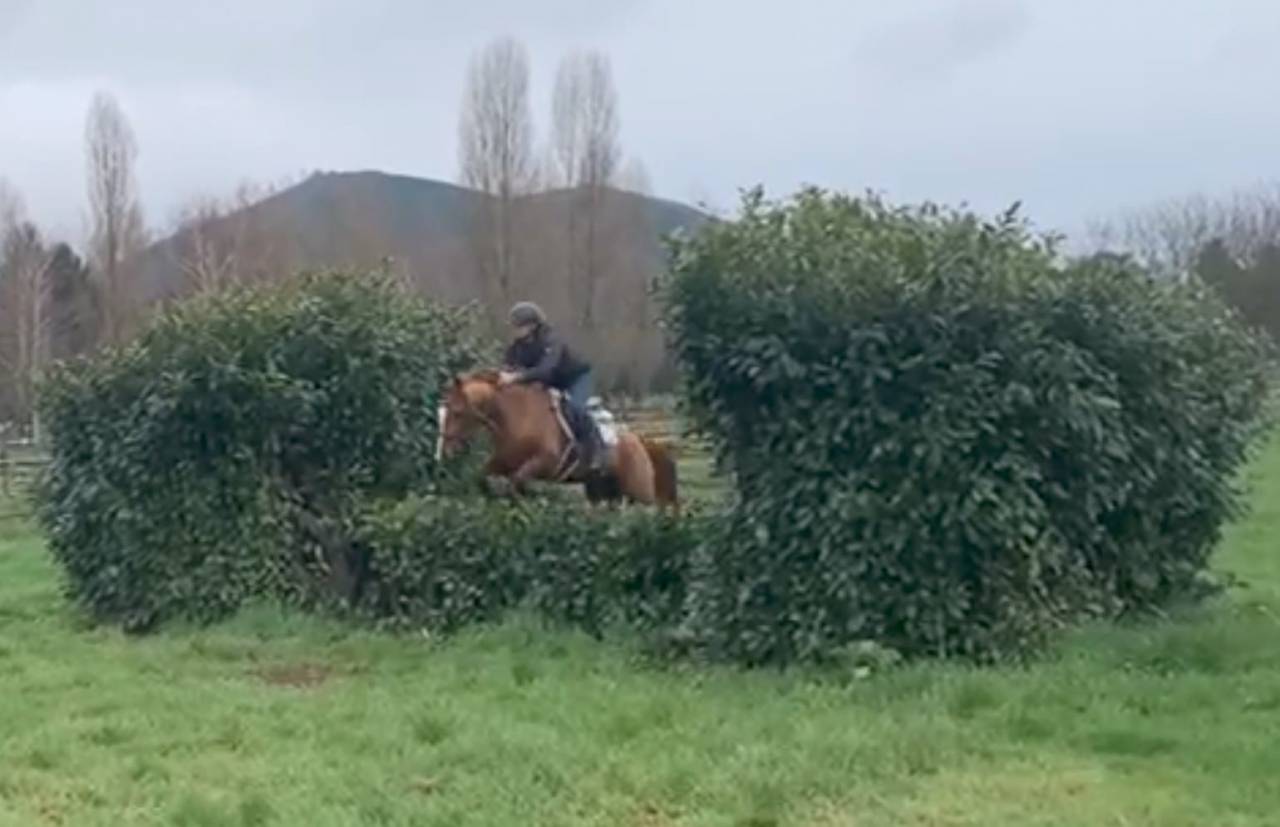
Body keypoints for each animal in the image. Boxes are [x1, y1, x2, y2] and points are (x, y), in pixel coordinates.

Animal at [436, 370, 679, 510]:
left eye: (457, 412)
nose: (447, 451)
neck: (516, 417)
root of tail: (641, 442)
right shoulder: (502, 462)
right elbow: (483, 477)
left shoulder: (546, 463)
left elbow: (517, 481)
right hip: (600, 491)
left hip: (640, 491)